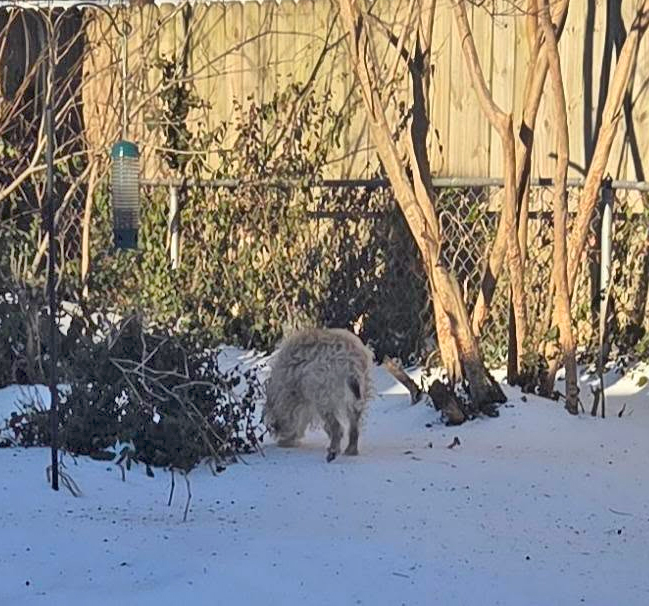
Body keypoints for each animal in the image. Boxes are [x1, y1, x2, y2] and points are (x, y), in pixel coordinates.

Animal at [262, 328, 373, 462]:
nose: (283, 442)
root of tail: (351, 362)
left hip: (324, 399)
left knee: (337, 427)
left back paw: (333, 450)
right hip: (356, 400)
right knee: (353, 428)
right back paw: (350, 451)